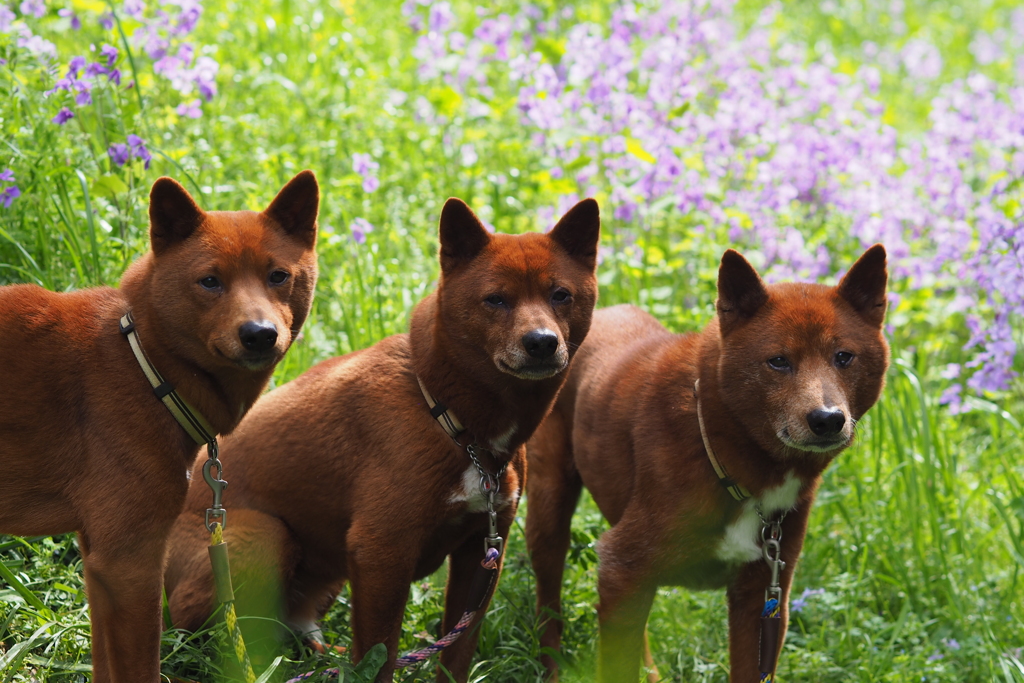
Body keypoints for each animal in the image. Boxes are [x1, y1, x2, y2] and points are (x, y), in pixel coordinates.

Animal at [0, 171, 319, 683]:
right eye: (209, 281)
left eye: (278, 276)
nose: (259, 334)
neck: (145, 365)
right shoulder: (131, 563)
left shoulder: (99, 561)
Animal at [164, 194, 602, 679]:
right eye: (496, 300)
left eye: (560, 295)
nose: (541, 342)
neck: (445, 415)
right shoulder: (382, 554)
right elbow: (380, 660)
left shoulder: (484, 551)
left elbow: (455, 656)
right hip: (265, 537)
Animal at [528, 246, 888, 683]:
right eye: (778, 361)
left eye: (844, 357)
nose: (828, 419)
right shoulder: (623, 566)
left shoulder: (763, 597)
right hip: (550, 509)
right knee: (549, 604)